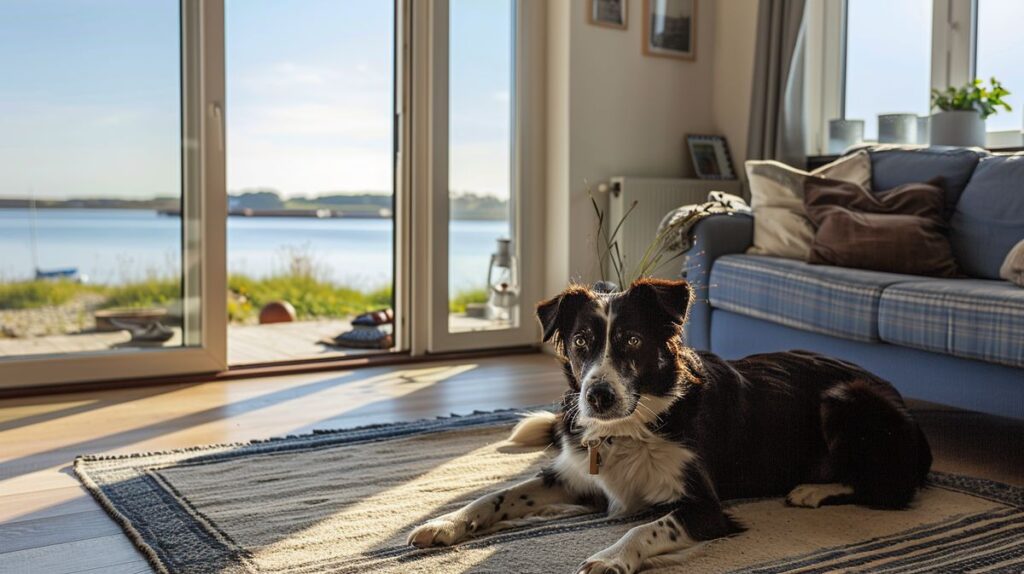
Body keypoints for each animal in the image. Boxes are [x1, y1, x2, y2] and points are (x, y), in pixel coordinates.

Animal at [405, 278, 929, 572]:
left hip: (845, 399)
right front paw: (444, 524)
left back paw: (814, 490)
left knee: (889, 488)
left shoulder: (705, 507)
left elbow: (647, 528)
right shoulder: (573, 476)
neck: (633, 425)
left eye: (633, 340)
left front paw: (610, 557)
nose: (597, 396)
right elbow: (496, 496)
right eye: (581, 341)